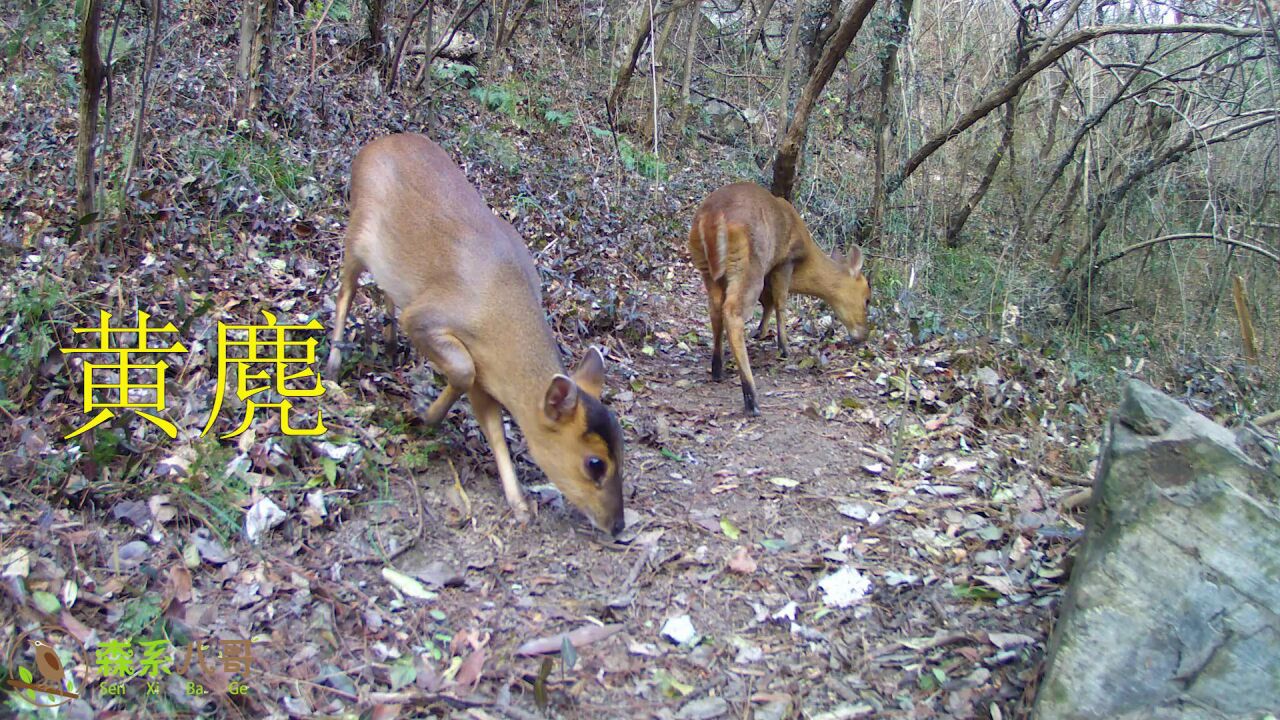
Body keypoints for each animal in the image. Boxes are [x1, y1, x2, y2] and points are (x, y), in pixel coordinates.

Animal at [325, 134, 624, 535]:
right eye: (595, 463)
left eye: (623, 450)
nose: (618, 525)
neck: (497, 311)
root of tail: (371, 146)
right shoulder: (425, 317)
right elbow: (462, 371)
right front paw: (423, 415)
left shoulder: (488, 375)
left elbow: (494, 429)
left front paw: (519, 504)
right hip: (357, 229)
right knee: (344, 291)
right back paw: (332, 366)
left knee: (383, 289)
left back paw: (388, 345)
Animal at [691, 180, 870, 415]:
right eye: (867, 298)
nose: (864, 334)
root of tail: (712, 218)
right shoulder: (785, 262)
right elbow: (780, 302)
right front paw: (784, 348)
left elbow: (768, 302)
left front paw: (760, 332)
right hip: (748, 266)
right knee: (732, 312)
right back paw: (751, 397)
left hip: (706, 268)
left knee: (715, 309)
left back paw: (717, 369)